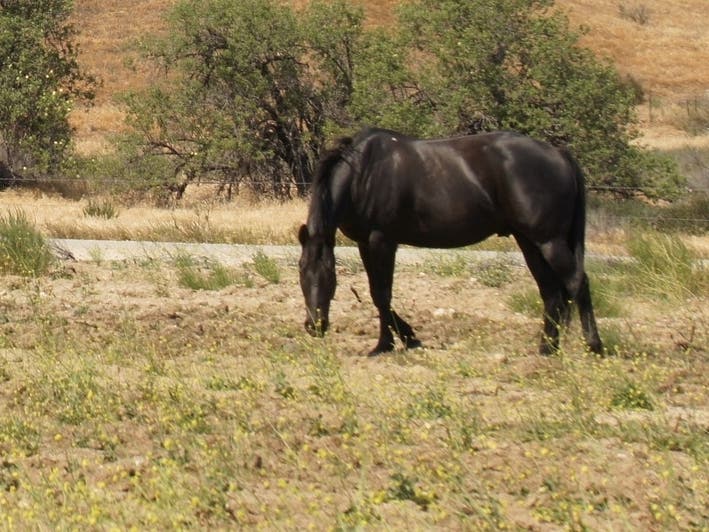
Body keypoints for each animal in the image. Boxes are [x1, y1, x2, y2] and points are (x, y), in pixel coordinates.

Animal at [298, 127, 603, 356]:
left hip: (549, 241)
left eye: (328, 275)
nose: (315, 326)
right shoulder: (364, 243)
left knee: (577, 282)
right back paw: (547, 349)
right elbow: (376, 293)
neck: (364, 173)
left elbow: (382, 294)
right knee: (551, 292)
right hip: (529, 242)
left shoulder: (383, 241)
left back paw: (593, 347)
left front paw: (388, 343)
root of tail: (560, 154)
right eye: (301, 273)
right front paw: (404, 336)